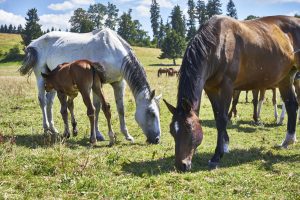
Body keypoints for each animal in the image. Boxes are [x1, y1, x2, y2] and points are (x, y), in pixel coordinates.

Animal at [19, 28, 162, 144]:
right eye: (152, 113)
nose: (157, 139)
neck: (112, 50)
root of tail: (34, 43)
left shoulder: (118, 83)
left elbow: (120, 109)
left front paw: (127, 135)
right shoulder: (96, 85)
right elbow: (97, 108)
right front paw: (98, 134)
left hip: (52, 82)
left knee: (50, 102)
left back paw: (53, 129)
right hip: (41, 77)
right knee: (42, 101)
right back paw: (46, 129)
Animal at [164, 16, 300, 172]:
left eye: (189, 129)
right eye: (172, 131)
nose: (181, 165)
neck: (217, 45)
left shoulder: (227, 87)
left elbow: (222, 119)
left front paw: (217, 156)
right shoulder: (210, 88)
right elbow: (217, 116)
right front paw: (225, 145)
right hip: (285, 78)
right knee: (291, 105)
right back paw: (288, 140)